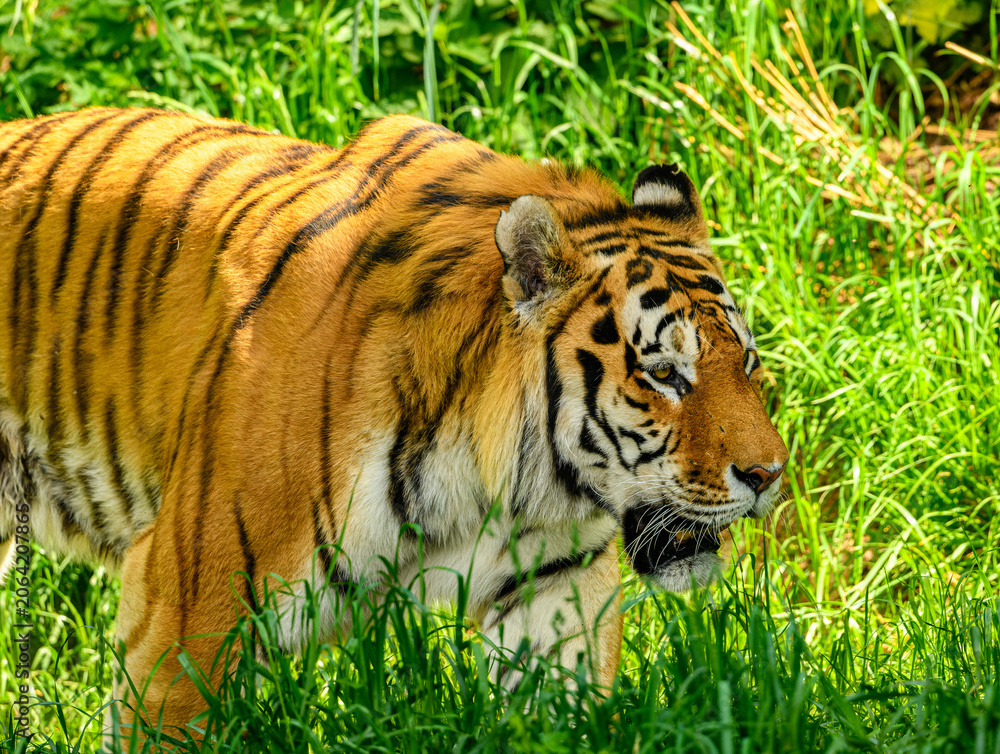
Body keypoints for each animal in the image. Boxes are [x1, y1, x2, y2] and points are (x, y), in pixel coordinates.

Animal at [0, 107, 788, 734]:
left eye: (747, 362)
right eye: (664, 374)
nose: (769, 475)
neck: (493, 485)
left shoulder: (553, 591)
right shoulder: (192, 609)